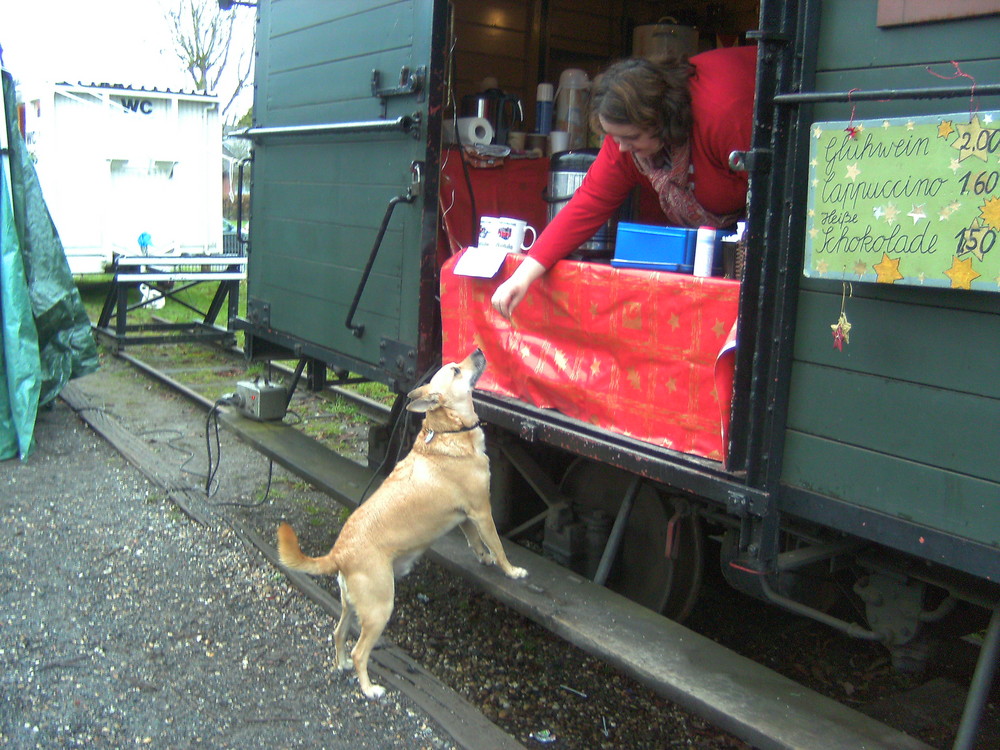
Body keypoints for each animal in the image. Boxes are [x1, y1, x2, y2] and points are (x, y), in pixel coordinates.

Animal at [274, 350, 524, 704]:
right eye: (456, 370)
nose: (477, 351)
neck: (448, 432)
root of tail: (339, 553)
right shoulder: (481, 510)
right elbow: (497, 545)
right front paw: (511, 570)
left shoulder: (466, 516)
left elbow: (476, 541)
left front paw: (483, 557)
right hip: (380, 608)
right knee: (360, 652)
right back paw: (369, 688)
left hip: (351, 606)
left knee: (338, 634)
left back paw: (341, 665)